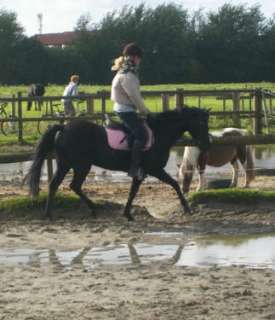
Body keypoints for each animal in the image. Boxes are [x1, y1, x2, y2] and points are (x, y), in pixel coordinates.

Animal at [28, 107, 210, 220]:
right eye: (202, 123)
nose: (207, 143)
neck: (159, 134)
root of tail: (64, 128)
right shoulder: (154, 169)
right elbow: (174, 184)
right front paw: (187, 208)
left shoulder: (142, 172)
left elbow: (133, 192)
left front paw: (127, 214)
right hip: (81, 165)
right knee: (73, 185)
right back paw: (91, 209)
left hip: (66, 164)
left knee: (56, 184)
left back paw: (50, 214)